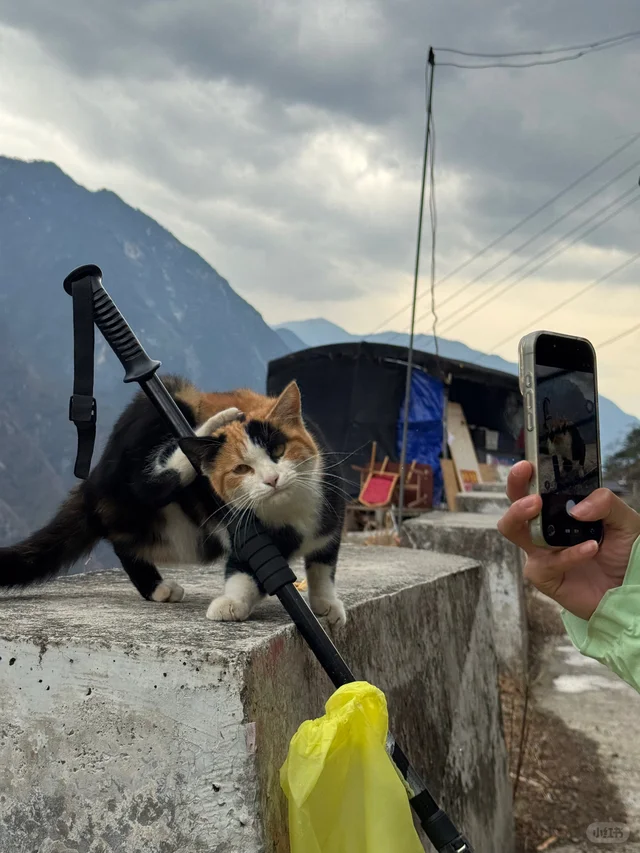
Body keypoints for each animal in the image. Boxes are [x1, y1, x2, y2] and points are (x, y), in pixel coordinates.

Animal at [0, 376, 347, 627]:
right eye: (241, 469)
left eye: (278, 450)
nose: (272, 480)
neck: (291, 511)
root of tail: (95, 482)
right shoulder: (244, 528)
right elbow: (247, 569)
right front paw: (230, 603)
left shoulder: (330, 522)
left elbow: (323, 566)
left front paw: (326, 604)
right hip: (159, 411)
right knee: (148, 483)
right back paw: (209, 428)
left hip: (184, 536)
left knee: (125, 540)